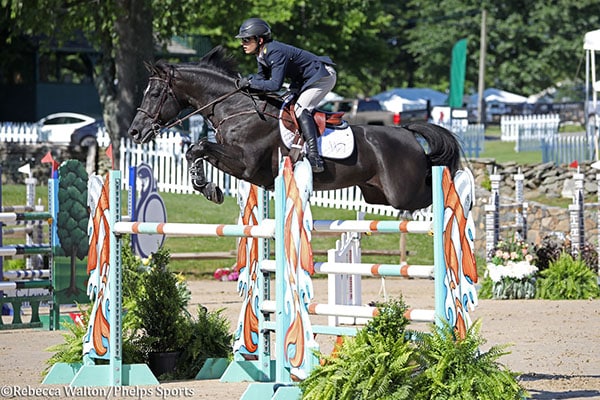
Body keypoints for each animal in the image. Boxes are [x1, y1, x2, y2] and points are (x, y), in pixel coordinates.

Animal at [129, 45, 462, 211]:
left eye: (155, 94)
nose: (134, 132)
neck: (236, 109)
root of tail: (406, 133)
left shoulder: (247, 164)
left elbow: (199, 146)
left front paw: (208, 187)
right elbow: (195, 151)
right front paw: (207, 187)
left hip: (402, 193)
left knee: (436, 194)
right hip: (376, 194)